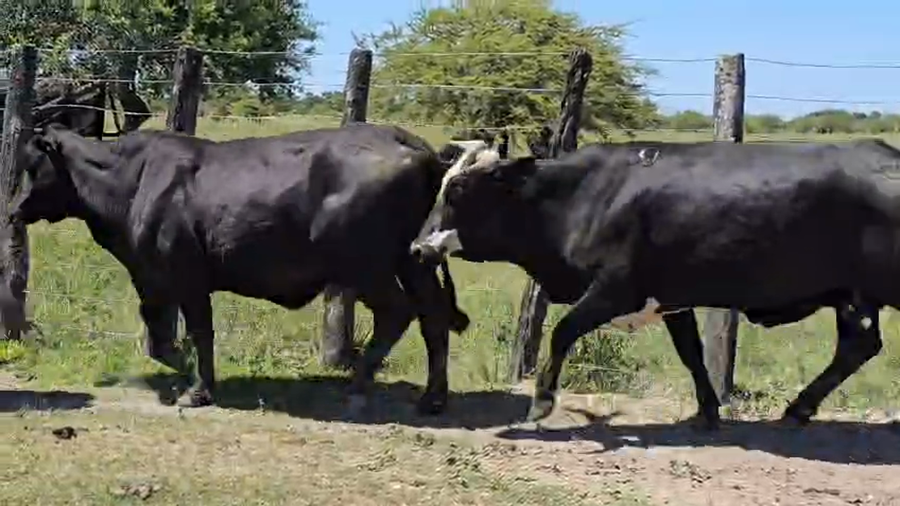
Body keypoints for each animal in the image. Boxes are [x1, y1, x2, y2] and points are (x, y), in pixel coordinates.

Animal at [10, 122, 477, 415]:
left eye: (33, 166)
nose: (13, 209)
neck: (134, 180)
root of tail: (412, 144)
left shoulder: (186, 276)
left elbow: (197, 332)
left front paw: (198, 387)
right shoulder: (151, 278)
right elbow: (159, 337)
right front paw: (189, 373)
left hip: (366, 266)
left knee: (398, 312)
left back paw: (359, 385)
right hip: (413, 259)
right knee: (432, 317)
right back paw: (433, 398)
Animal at [410, 139, 900, 430]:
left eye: (457, 192)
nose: (417, 248)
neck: (584, 196)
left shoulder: (615, 289)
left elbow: (562, 331)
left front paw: (542, 402)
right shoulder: (672, 299)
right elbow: (691, 353)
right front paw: (707, 411)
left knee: (858, 347)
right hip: (854, 297)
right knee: (858, 347)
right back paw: (798, 409)